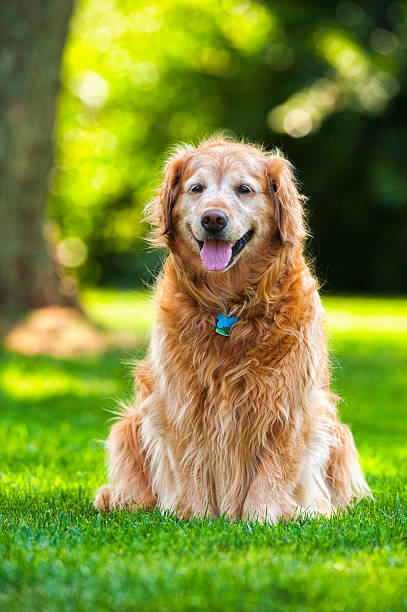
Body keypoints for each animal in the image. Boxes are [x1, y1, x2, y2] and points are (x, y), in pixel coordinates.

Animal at [94, 137, 372, 520]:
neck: (229, 306)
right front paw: (194, 517)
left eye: (244, 189)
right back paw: (121, 500)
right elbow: (190, 465)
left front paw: (264, 517)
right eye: (196, 188)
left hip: (338, 432)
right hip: (128, 424)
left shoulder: (290, 403)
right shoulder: (182, 399)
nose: (213, 218)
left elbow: (274, 467)